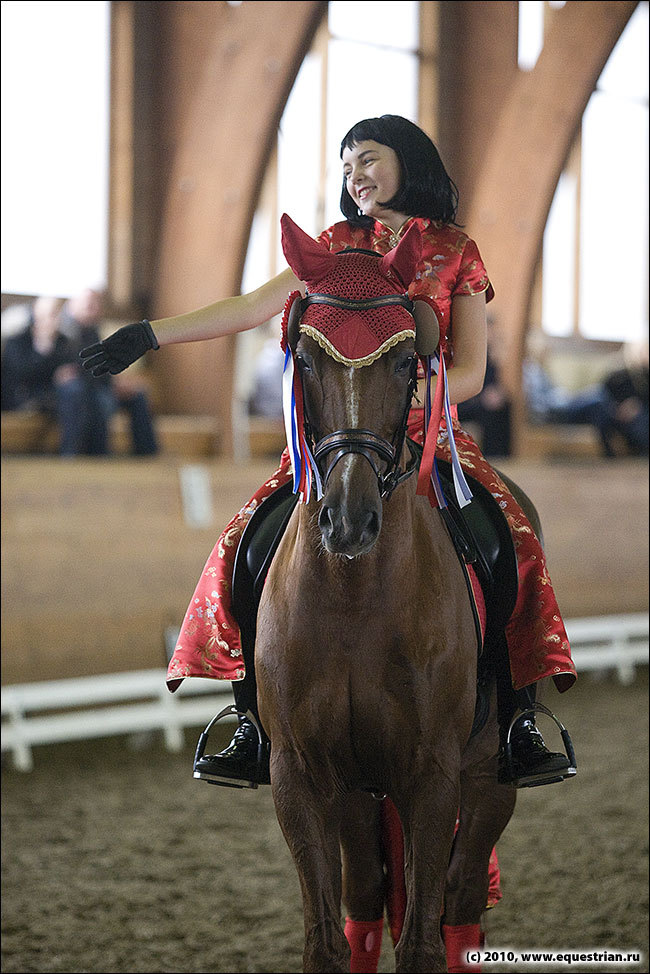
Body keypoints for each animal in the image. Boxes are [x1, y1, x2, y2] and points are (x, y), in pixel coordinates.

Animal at [256, 217, 512, 972]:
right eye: (305, 359)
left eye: (406, 364)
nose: (349, 519)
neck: (353, 597)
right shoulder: (302, 774)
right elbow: (326, 942)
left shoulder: (432, 774)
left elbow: (423, 940)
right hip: (358, 794)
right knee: (366, 898)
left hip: (490, 780)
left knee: (461, 903)